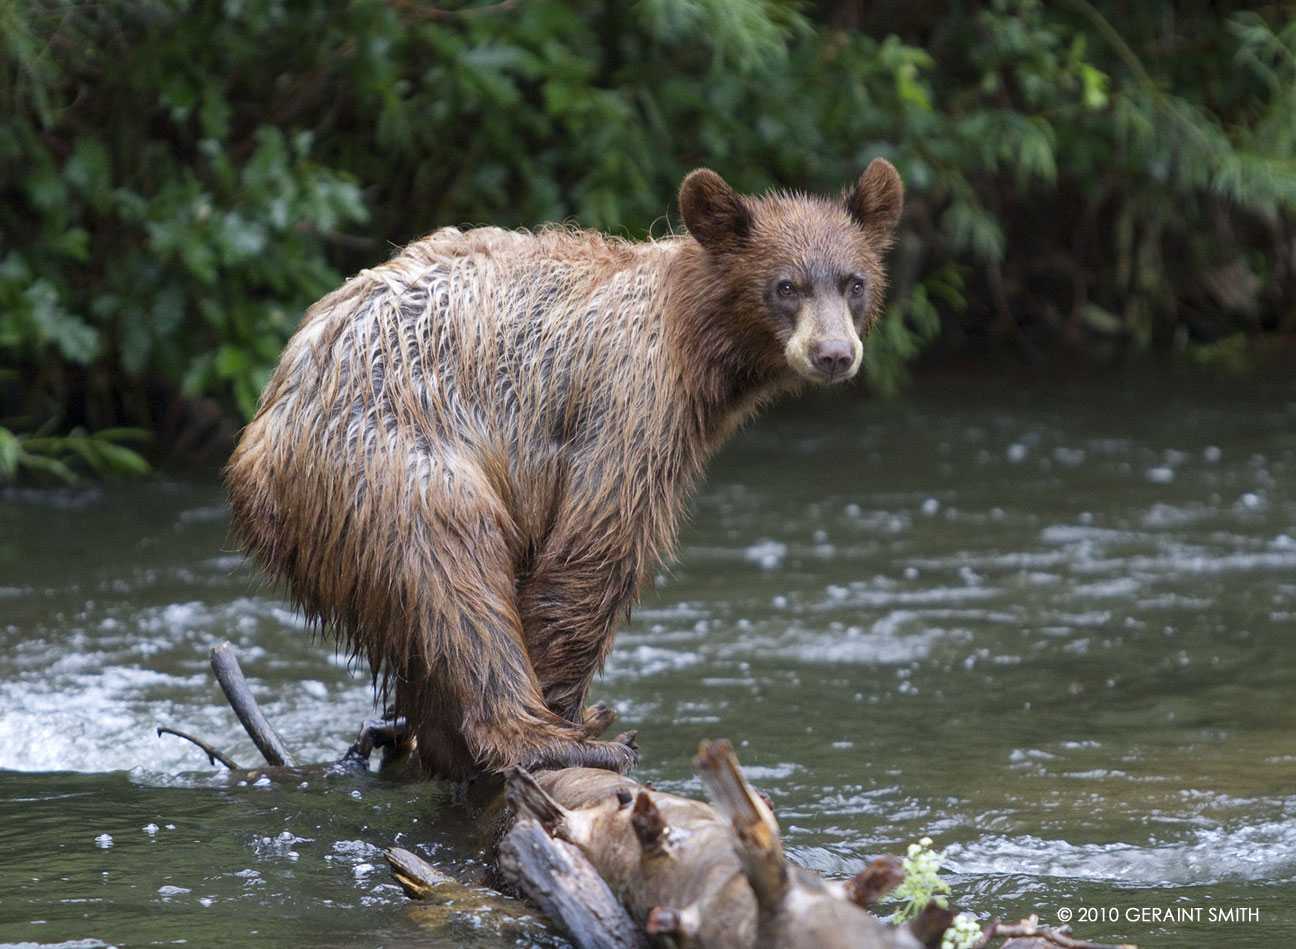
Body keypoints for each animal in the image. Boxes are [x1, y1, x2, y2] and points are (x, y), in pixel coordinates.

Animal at [222, 161, 907, 777]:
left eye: (853, 282)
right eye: (786, 285)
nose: (833, 353)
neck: (696, 342)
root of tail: (259, 451)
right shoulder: (629, 400)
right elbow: (595, 549)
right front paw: (570, 713)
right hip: (391, 465)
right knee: (454, 583)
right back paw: (539, 737)